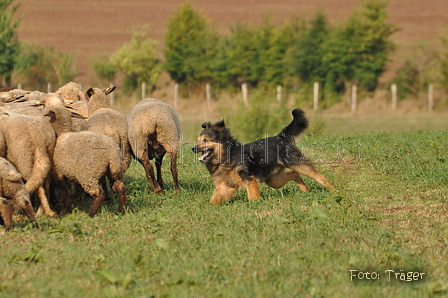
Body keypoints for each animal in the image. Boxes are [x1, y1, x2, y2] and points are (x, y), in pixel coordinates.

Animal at [191, 109, 334, 205]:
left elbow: (252, 193)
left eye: (205, 140)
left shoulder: (248, 178)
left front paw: (255, 203)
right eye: (198, 141)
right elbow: (216, 196)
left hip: (296, 163)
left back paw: (331, 189)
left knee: (318, 176)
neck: (226, 157)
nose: (193, 148)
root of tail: (280, 137)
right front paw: (209, 206)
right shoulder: (225, 185)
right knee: (293, 174)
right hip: (274, 179)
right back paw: (304, 189)